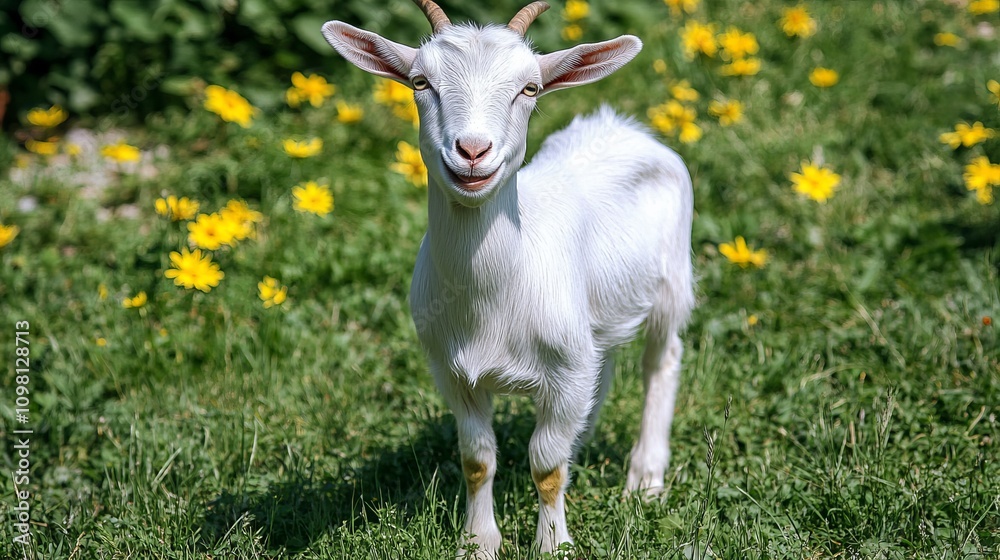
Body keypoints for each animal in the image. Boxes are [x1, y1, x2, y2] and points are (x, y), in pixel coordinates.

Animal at [322, 1, 694, 556]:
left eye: (530, 88)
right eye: (419, 82)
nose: (473, 150)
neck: (494, 295)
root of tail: (623, 127)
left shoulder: (564, 371)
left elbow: (545, 466)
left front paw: (553, 544)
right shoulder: (452, 371)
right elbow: (478, 458)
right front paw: (478, 542)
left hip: (672, 282)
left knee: (661, 361)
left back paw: (645, 479)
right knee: (603, 366)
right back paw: (585, 440)